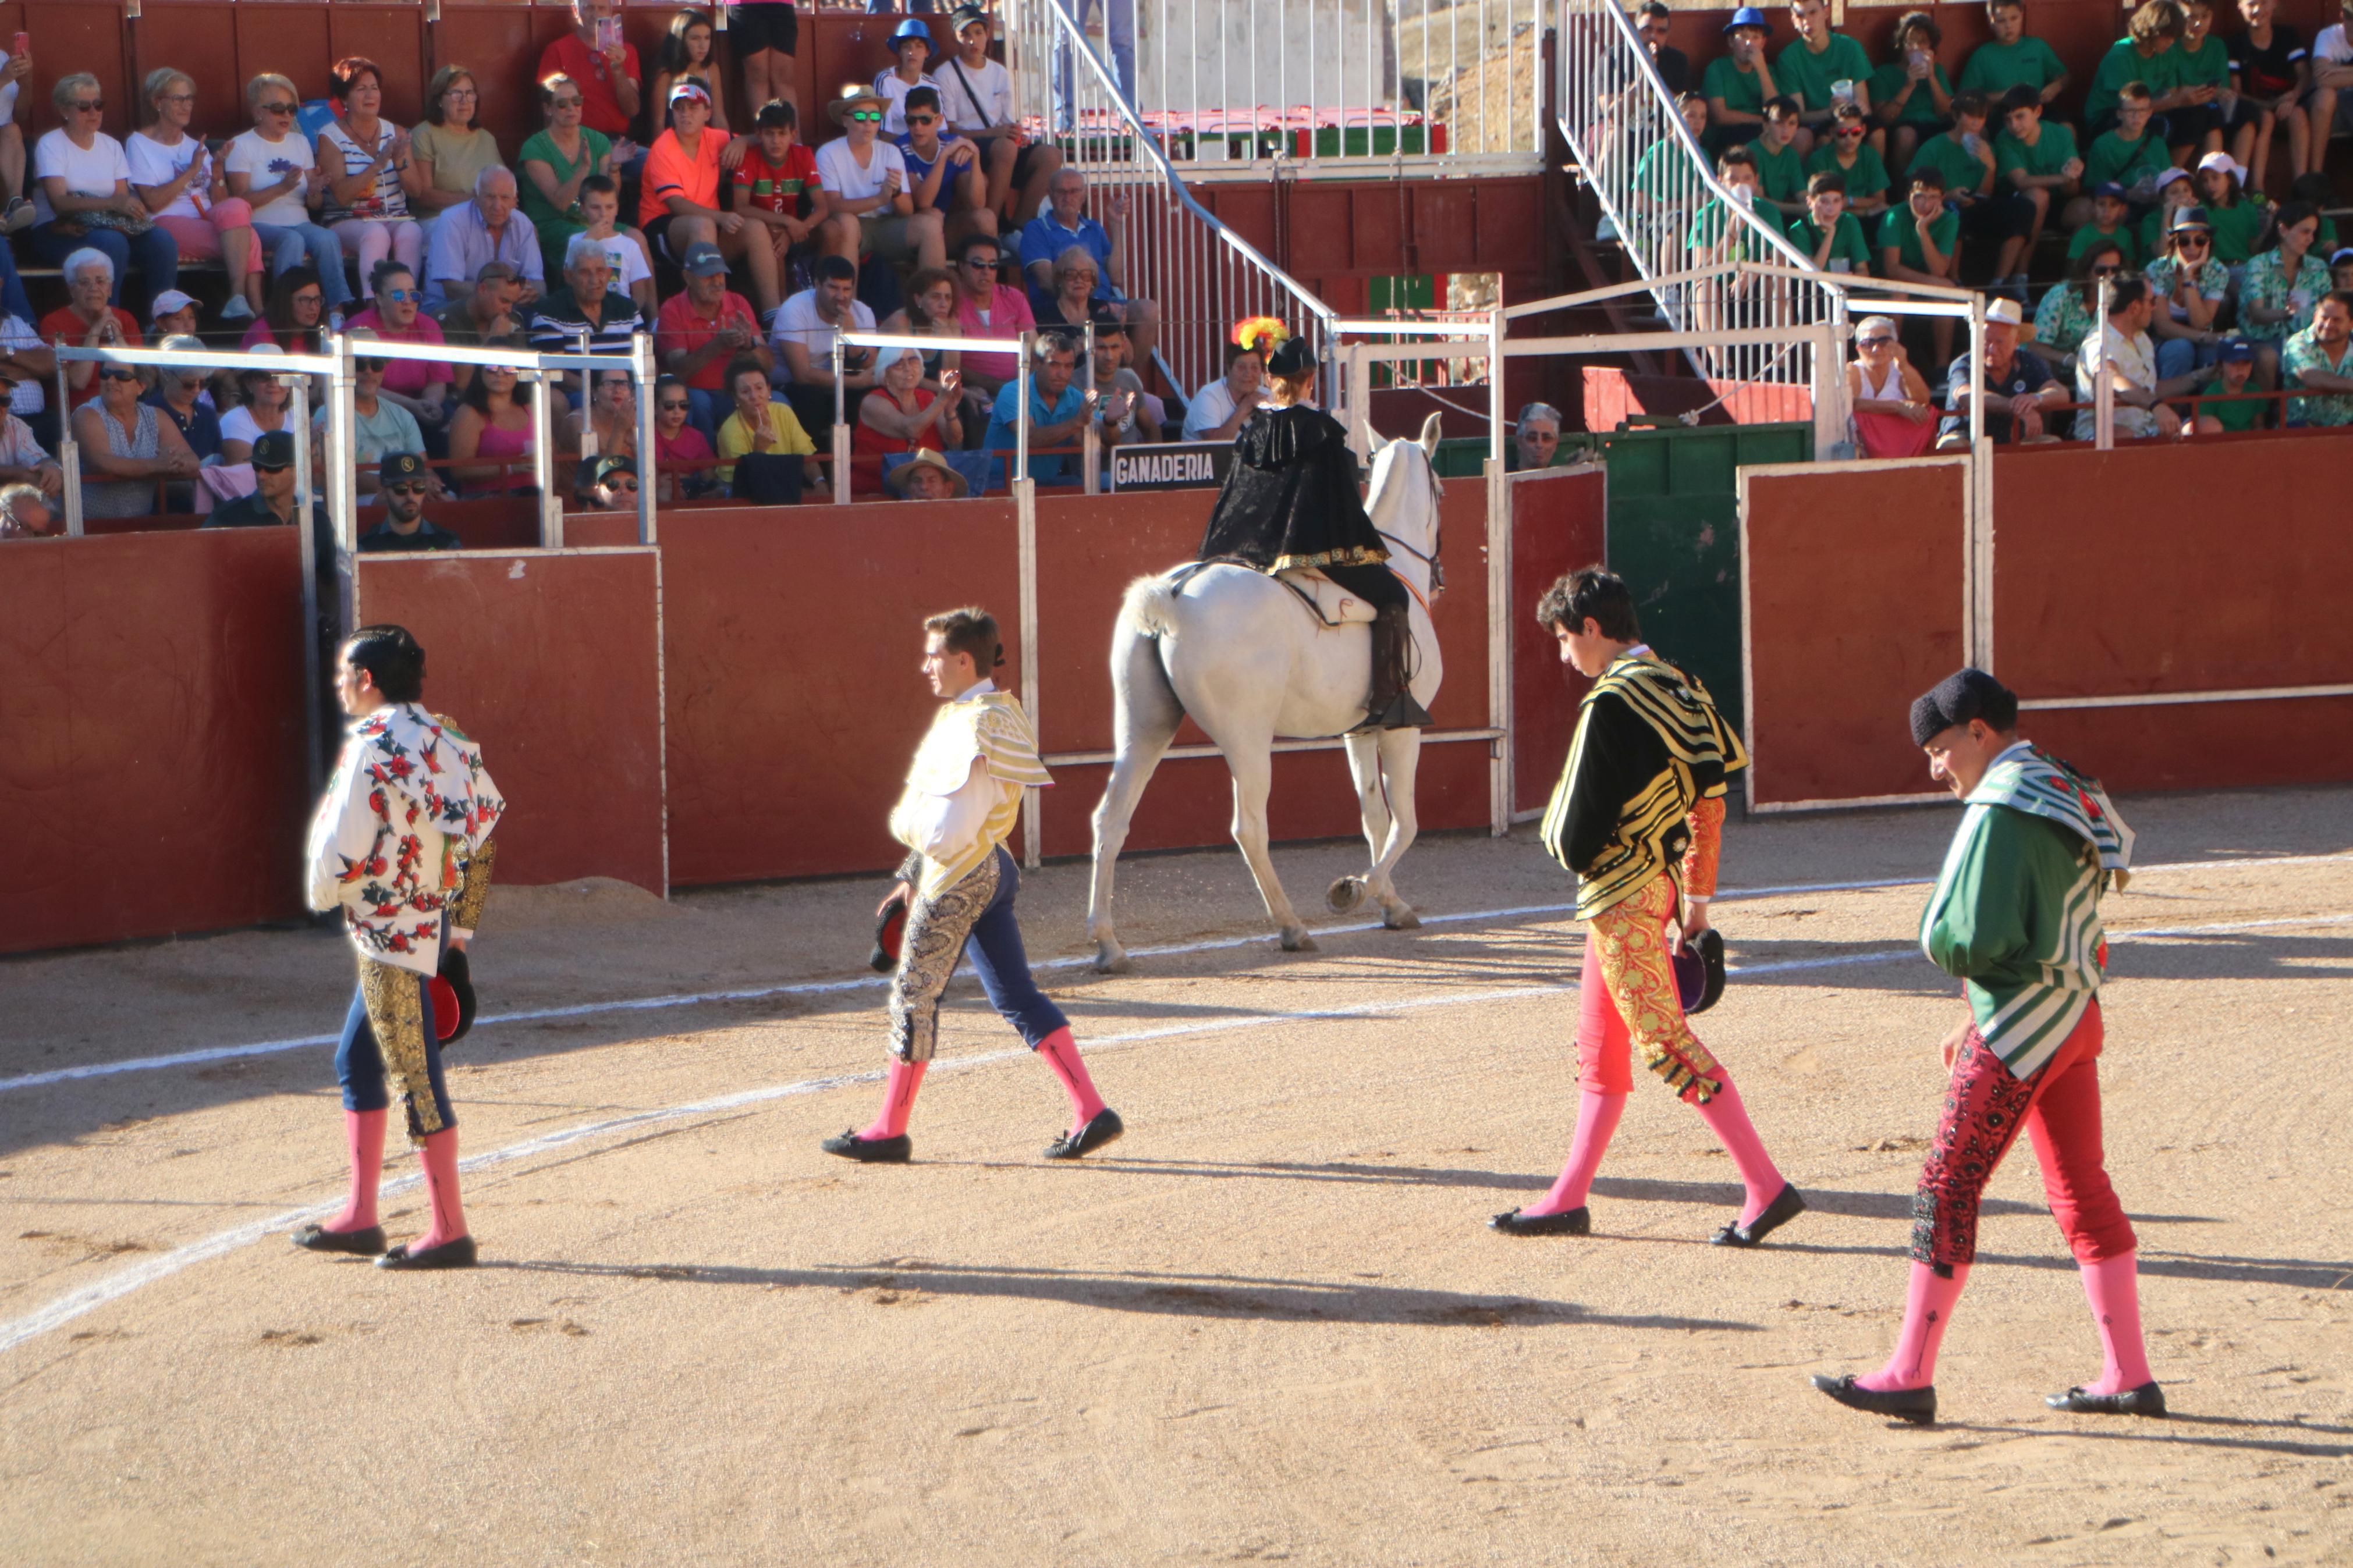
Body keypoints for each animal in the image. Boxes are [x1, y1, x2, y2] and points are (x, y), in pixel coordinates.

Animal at [1087, 414, 1449, 968]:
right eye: (1442, 489)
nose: (1438, 578)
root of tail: (1171, 596)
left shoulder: (1359, 732)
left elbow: (1373, 817)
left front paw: (1390, 902)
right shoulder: (1402, 729)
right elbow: (1404, 822)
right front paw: (1353, 890)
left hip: (1143, 727)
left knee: (1111, 817)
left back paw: (1108, 944)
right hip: (1248, 739)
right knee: (1250, 827)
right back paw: (1292, 926)